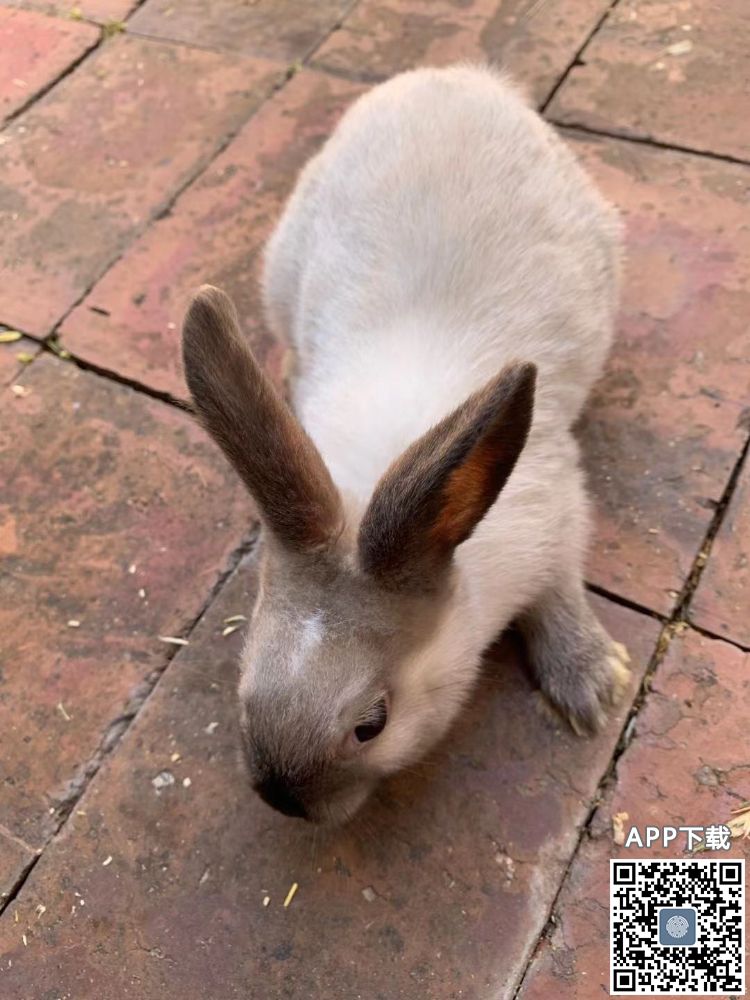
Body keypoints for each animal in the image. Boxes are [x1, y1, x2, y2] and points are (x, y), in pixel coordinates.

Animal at [182, 63, 631, 825]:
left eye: (372, 724)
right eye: (245, 683)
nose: (283, 802)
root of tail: (446, 78)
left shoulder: (557, 516)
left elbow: (562, 590)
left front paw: (594, 687)